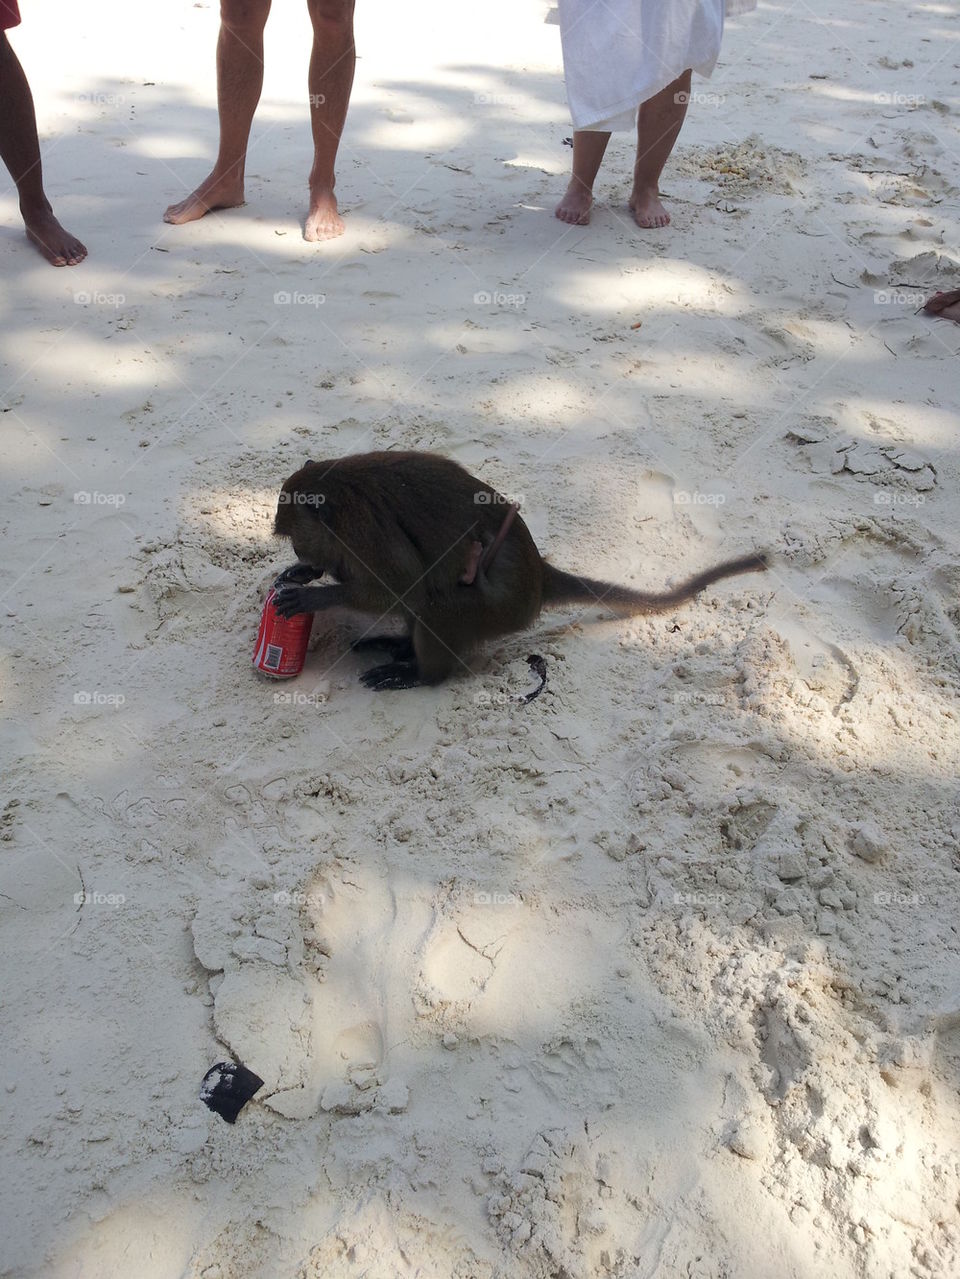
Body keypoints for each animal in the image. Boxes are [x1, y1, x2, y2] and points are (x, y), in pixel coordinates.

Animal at [271, 450, 768, 691]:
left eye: (297, 537)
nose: (302, 555)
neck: (339, 490)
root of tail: (540, 575)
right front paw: (300, 576)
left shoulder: (362, 533)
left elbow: (401, 587)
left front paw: (312, 596)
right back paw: (400, 647)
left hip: (498, 609)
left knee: (439, 600)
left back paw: (421, 674)